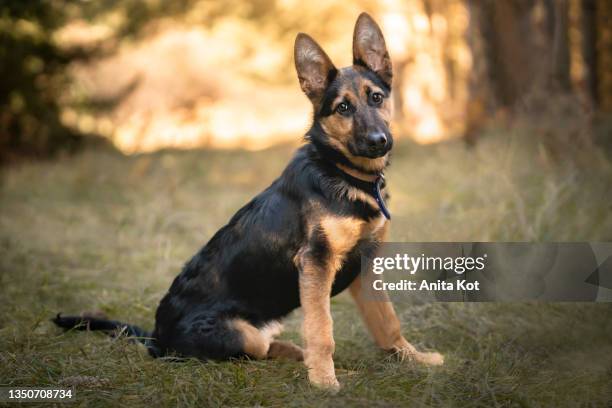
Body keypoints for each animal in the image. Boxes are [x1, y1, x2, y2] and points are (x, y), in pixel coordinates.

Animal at [55, 11, 442, 388]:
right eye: (343, 108)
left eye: (376, 97)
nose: (379, 141)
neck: (342, 172)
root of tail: (156, 338)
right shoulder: (316, 263)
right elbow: (322, 331)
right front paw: (325, 383)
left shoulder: (365, 263)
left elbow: (387, 321)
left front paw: (414, 359)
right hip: (240, 333)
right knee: (253, 354)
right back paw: (318, 366)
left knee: (270, 347)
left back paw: (305, 357)